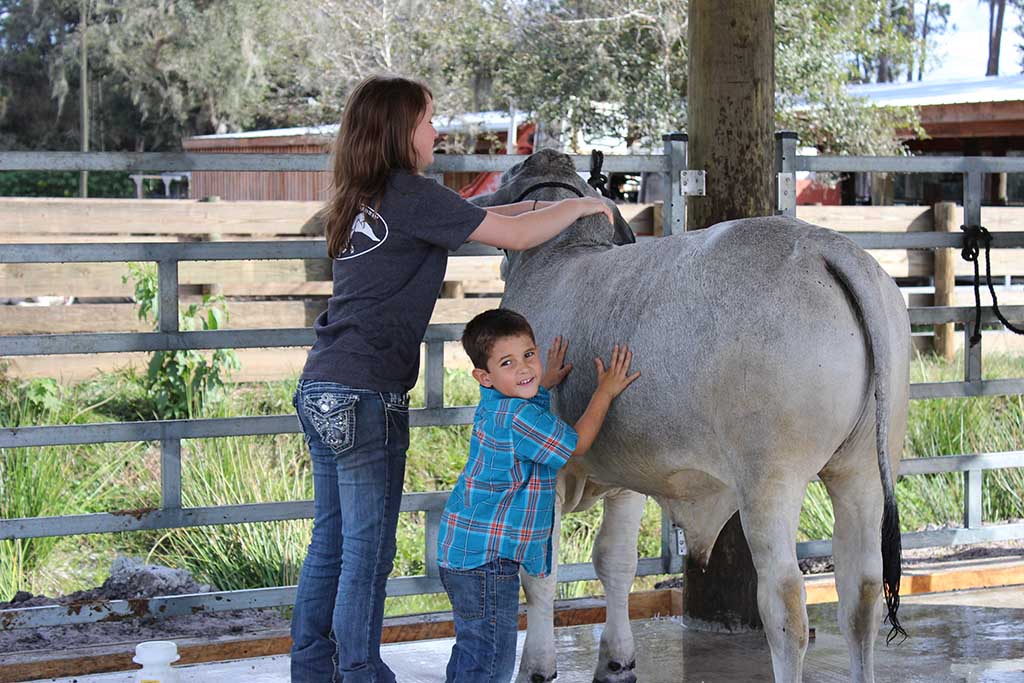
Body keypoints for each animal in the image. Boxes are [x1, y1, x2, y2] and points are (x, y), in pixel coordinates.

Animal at [468, 149, 910, 683]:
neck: (556, 258)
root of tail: (826, 248)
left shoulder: (545, 472)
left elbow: (540, 572)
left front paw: (537, 665)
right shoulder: (625, 477)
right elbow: (615, 562)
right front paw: (616, 658)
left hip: (770, 480)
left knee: (785, 603)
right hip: (862, 468)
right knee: (861, 593)